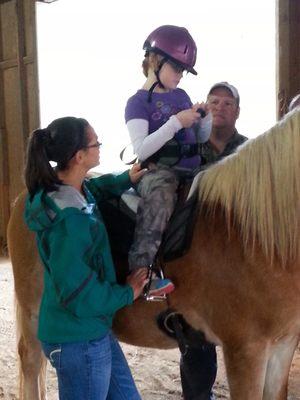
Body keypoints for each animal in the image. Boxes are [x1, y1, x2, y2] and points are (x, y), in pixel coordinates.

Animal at [5, 109, 300, 400]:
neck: (249, 233)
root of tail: (25, 197)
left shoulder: (283, 346)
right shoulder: (244, 350)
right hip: (32, 313)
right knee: (31, 363)